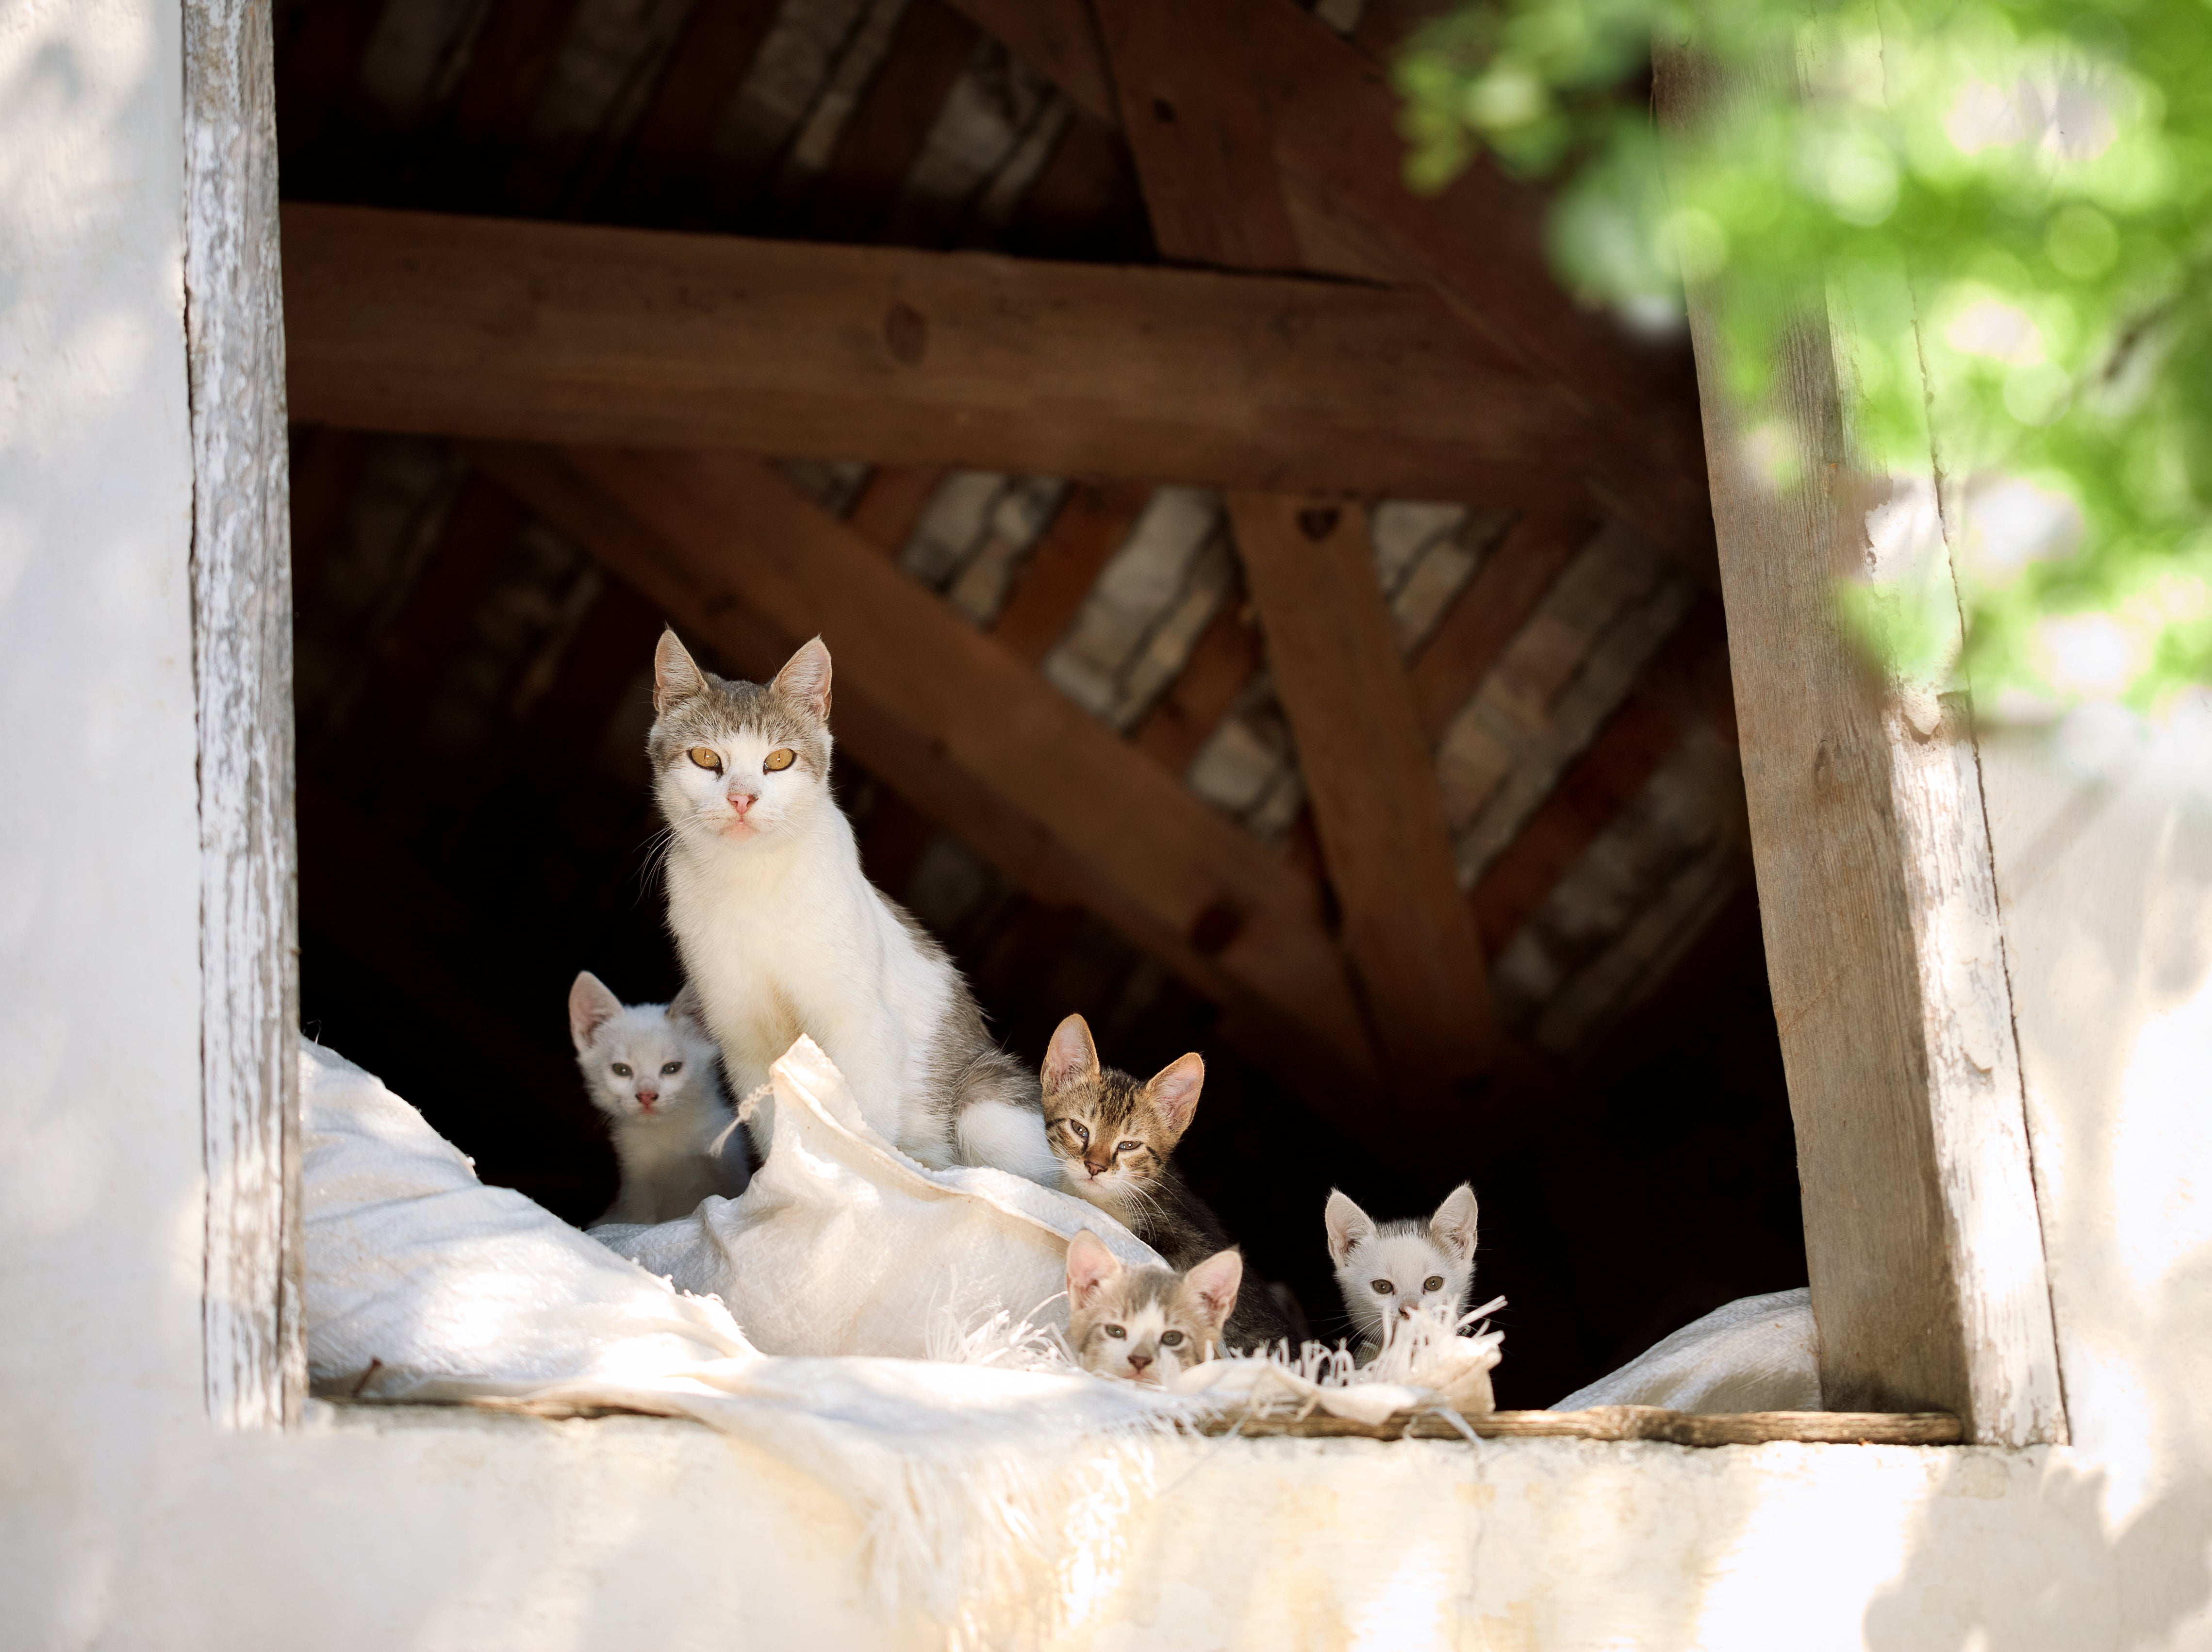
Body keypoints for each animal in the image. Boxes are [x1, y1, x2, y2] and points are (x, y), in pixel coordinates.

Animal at [570, 968, 752, 1229]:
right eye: (621, 1070)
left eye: (672, 1068)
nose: (646, 1095)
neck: (669, 1133)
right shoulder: (636, 1191)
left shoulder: (731, 1165)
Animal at [645, 624, 1053, 1185]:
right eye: (706, 758)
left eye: (778, 760)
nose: (742, 798)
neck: (751, 881)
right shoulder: (744, 1038)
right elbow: (772, 1122)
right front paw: (776, 1189)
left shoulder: (860, 1025)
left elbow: (862, 1121)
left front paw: (850, 1184)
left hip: (985, 1098)